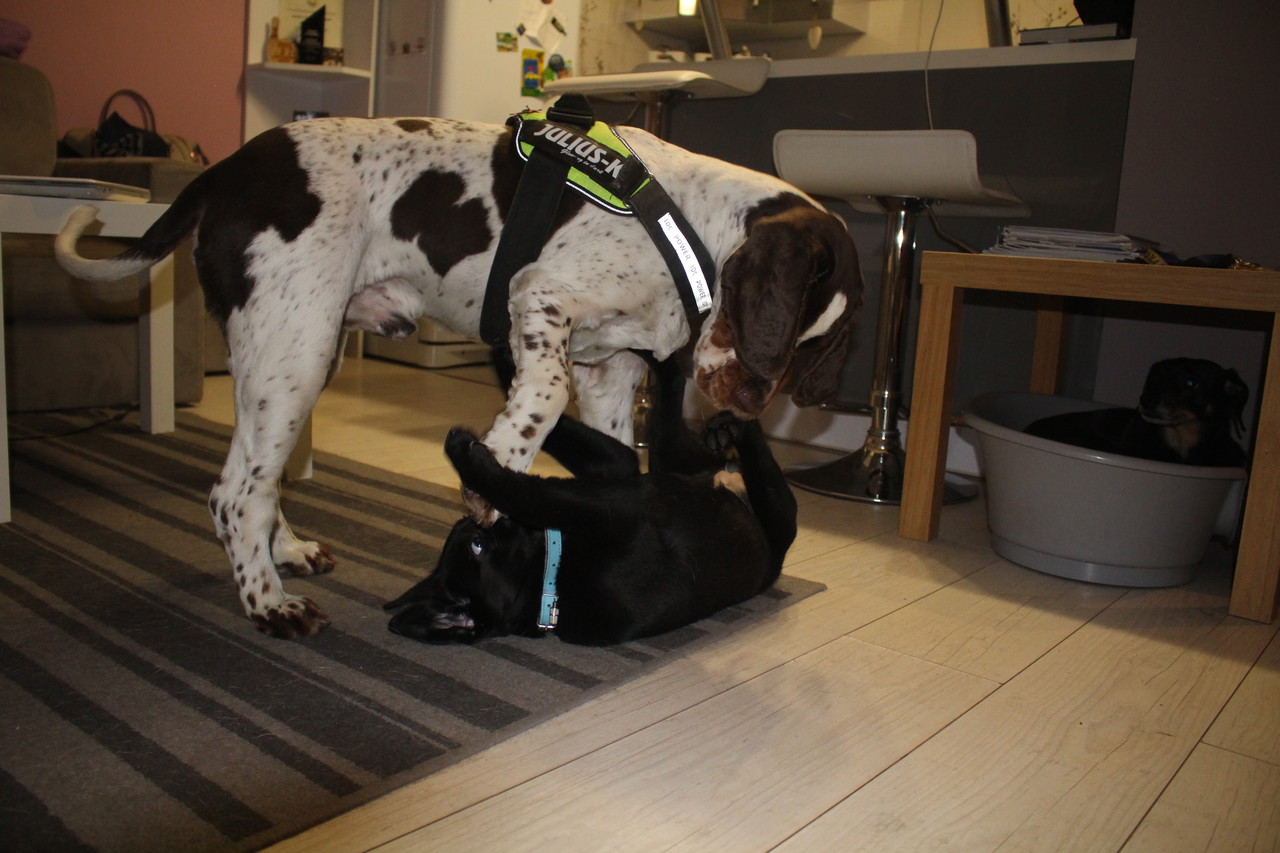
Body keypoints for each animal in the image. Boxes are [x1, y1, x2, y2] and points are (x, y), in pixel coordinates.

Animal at [384, 357, 797, 645]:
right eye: (477, 546)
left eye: (471, 537)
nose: (476, 523)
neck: (548, 588)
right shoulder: (607, 511)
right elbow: (529, 492)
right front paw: (463, 451)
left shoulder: (615, 471)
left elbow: (555, 438)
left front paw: (505, 361)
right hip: (776, 505)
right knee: (738, 443)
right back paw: (731, 418)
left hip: (674, 461)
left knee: (678, 425)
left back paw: (720, 424)